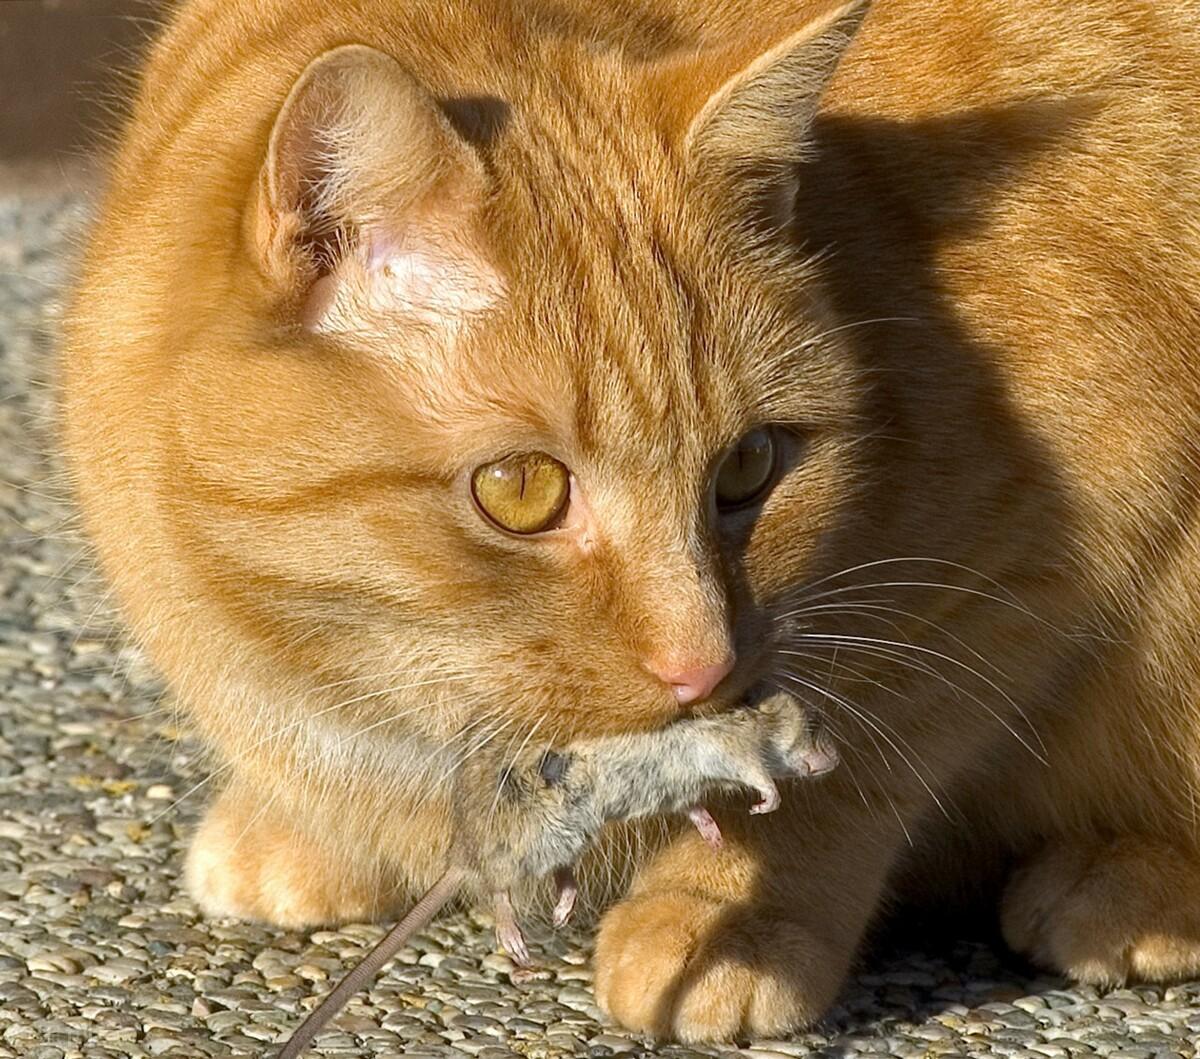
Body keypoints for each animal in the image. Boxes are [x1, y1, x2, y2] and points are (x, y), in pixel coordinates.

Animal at [58, 0, 1200, 1042]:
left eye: (749, 466)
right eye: (521, 489)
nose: (702, 666)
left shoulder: (1045, 550)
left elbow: (862, 753)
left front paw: (731, 914)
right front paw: (310, 828)